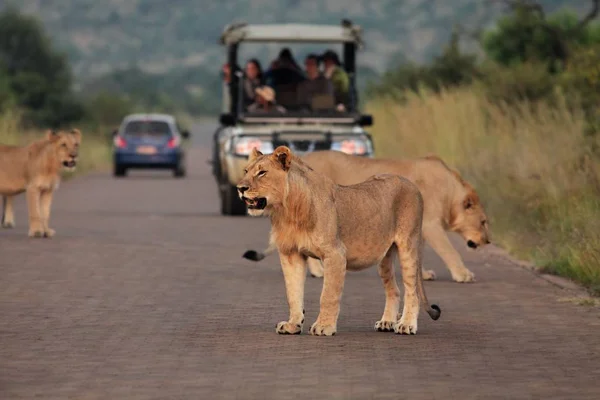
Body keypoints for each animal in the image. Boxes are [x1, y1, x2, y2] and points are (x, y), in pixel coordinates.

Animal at [236, 145, 440, 336]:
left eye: (262, 172)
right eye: (246, 171)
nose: (240, 188)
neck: (287, 210)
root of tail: (411, 184)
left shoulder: (335, 254)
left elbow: (328, 295)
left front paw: (324, 326)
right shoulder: (291, 254)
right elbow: (293, 293)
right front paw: (292, 324)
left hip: (409, 245)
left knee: (412, 290)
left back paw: (406, 325)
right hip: (384, 257)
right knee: (394, 289)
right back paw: (387, 322)